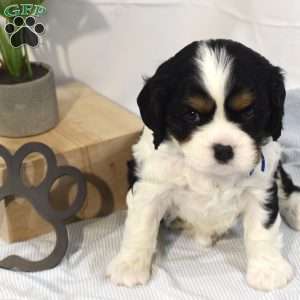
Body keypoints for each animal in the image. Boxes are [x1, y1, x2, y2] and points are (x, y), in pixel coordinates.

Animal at [106, 39, 300, 290]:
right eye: (191, 114)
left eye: (248, 111)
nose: (224, 149)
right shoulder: (151, 184)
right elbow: (141, 225)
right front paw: (129, 265)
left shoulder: (260, 187)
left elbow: (263, 229)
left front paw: (268, 269)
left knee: (285, 185)